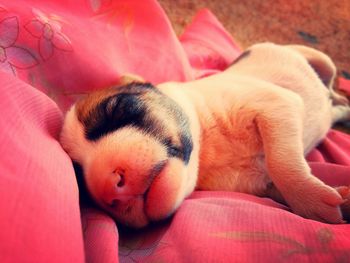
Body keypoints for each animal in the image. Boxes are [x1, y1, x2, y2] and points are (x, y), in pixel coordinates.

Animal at [59, 43, 350, 229]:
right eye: (79, 176)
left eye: (117, 108)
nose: (109, 186)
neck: (208, 150)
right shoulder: (262, 185)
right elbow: (280, 181)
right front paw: (339, 197)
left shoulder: (275, 103)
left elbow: (282, 162)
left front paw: (312, 201)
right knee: (332, 104)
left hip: (318, 58)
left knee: (331, 87)